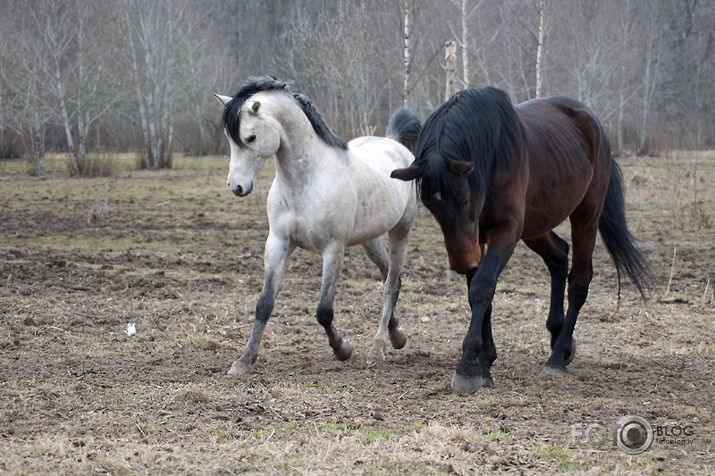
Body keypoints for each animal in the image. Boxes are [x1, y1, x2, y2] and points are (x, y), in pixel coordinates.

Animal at [215, 77, 422, 376]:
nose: (237, 186)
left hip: (401, 233)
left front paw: (342, 349)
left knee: (390, 286)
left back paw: (378, 349)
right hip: (370, 240)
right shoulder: (277, 243)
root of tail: (395, 143)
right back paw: (397, 336)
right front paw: (244, 360)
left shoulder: (333, 250)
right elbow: (264, 304)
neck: (306, 181)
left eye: (251, 137)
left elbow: (324, 310)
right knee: (389, 277)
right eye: (229, 137)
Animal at [394, 88, 652, 394]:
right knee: (559, 256)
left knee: (579, 281)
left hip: (586, 214)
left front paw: (468, 365)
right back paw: (559, 337)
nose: (460, 261)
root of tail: (594, 123)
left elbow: (482, 287)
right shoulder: (477, 238)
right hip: (536, 224)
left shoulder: (505, 229)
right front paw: (485, 363)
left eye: (464, 199)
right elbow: (481, 293)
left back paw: (557, 357)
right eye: (430, 206)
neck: (493, 157)